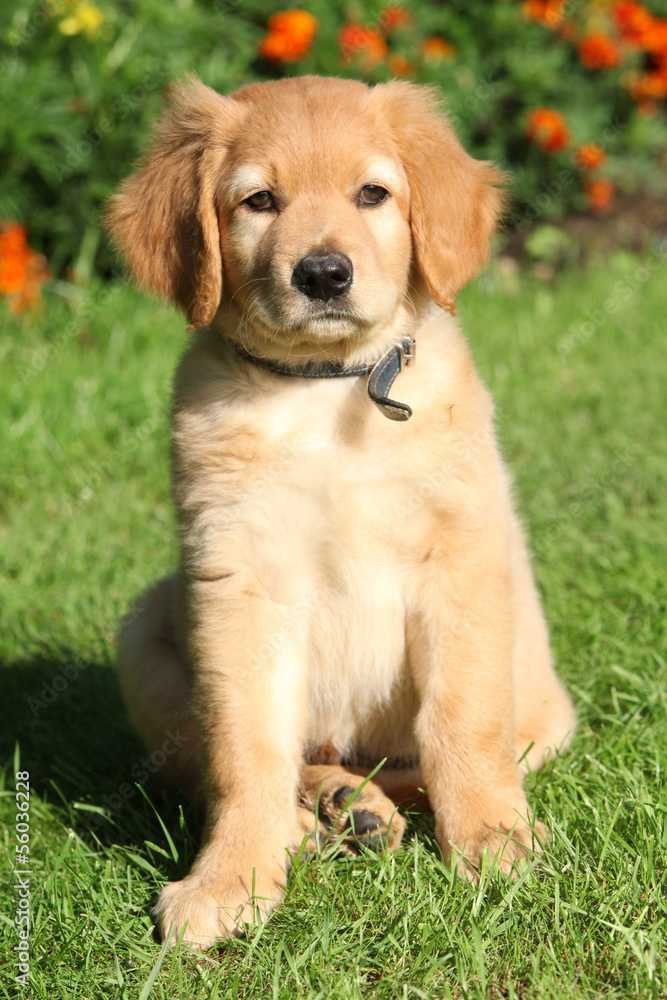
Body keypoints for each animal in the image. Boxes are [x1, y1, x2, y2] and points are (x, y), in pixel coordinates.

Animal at [107, 74, 576, 948]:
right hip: (145, 633)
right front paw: (231, 878)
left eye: (372, 194)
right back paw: (327, 809)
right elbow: (245, 751)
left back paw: (357, 808)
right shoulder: (238, 581)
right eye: (258, 201)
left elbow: (460, 720)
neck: (326, 391)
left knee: (429, 763)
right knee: (215, 765)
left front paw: (493, 843)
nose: (323, 274)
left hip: (541, 699)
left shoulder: (460, 560)